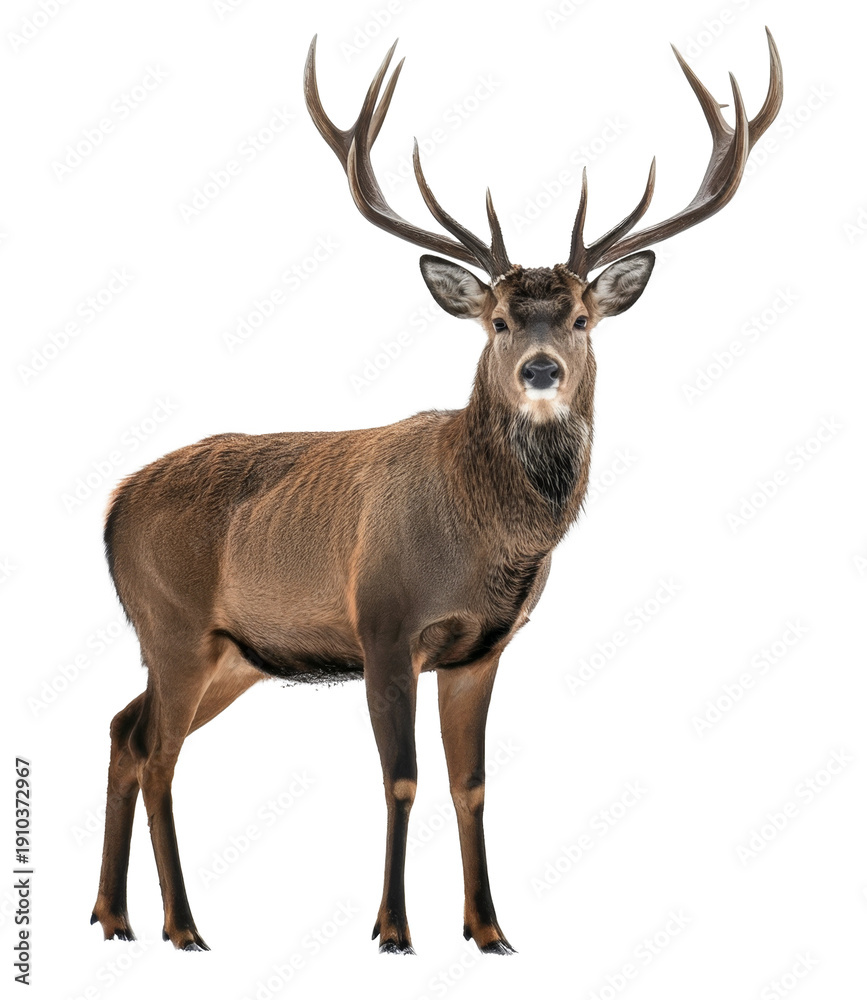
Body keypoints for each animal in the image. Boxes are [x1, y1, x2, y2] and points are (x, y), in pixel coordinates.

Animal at [91, 31, 782, 954]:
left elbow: (470, 784)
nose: (539, 370)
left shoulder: (481, 650)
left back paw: (113, 916)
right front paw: (391, 930)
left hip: (230, 655)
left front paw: (488, 930)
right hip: (171, 624)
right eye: (497, 320)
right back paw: (182, 926)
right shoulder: (383, 625)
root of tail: (111, 506)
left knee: (124, 731)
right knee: (159, 753)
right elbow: (402, 779)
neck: (480, 539)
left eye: (580, 318)